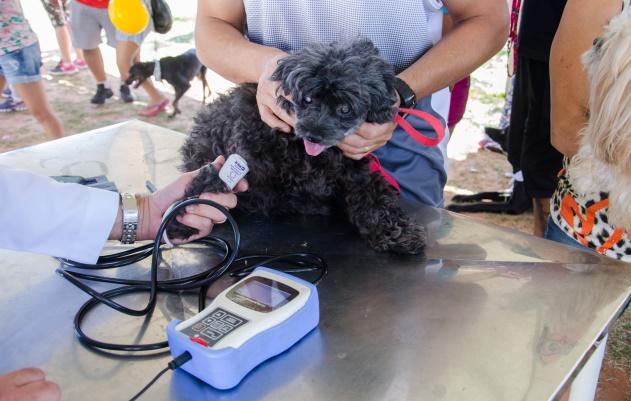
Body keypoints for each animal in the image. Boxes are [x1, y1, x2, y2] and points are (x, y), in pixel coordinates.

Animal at [168, 39, 428, 255]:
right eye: (308, 99)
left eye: (345, 108)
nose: (314, 135)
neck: (307, 154)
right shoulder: (244, 158)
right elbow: (212, 178)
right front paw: (184, 218)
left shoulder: (357, 171)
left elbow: (376, 198)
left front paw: (398, 233)